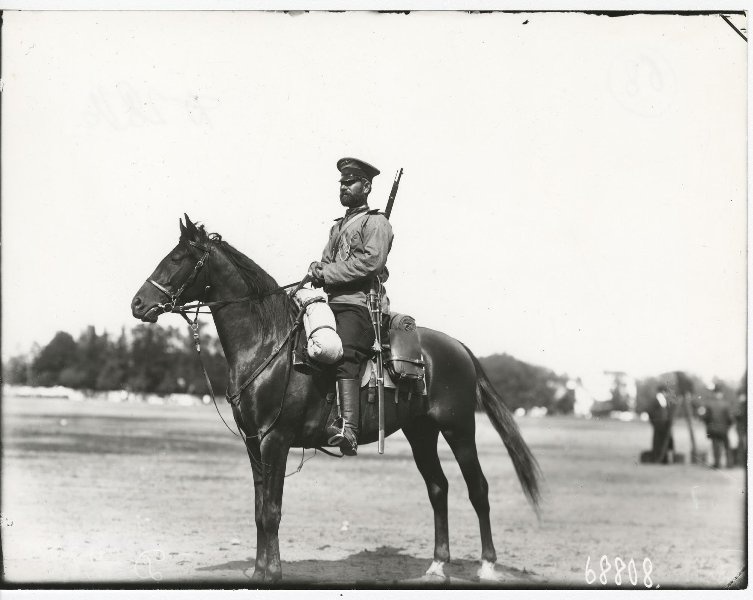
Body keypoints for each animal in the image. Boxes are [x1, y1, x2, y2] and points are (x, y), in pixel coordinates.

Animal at [129, 214, 540, 580]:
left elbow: (271, 511)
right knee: (439, 489)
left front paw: (272, 574)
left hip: (459, 429)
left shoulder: (275, 440)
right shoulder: (253, 442)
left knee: (478, 489)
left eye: (177, 258)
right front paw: (260, 571)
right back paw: (438, 567)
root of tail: (458, 347)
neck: (268, 346)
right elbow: (260, 508)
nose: (137, 304)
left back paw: (487, 567)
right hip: (421, 433)